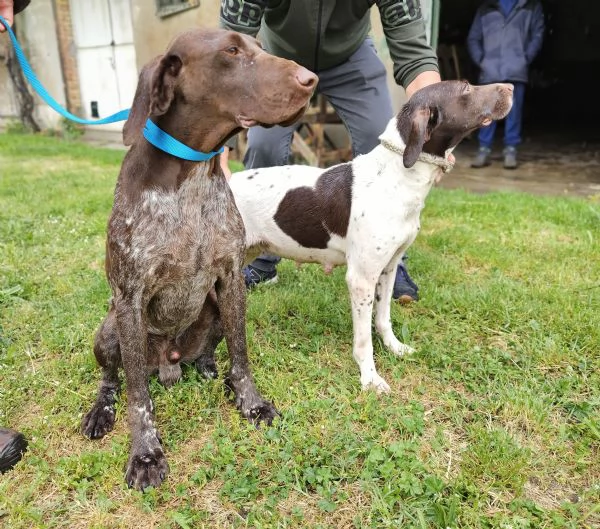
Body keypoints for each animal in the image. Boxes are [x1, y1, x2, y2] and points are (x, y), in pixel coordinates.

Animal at [81, 28, 316, 488]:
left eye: (260, 47)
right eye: (231, 51)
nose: (310, 79)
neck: (191, 174)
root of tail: (169, 364)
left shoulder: (231, 278)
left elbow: (241, 358)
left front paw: (250, 402)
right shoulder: (130, 297)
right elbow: (138, 396)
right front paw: (145, 453)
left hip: (214, 306)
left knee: (209, 348)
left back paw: (206, 366)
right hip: (110, 329)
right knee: (113, 379)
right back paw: (101, 410)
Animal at [225, 81, 510, 392]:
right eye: (466, 89)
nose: (510, 88)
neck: (398, 177)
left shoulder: (388, 267)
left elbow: (383, 318)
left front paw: (394, 348)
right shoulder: (361, 279)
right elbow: (363, 341)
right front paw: (370, 378)